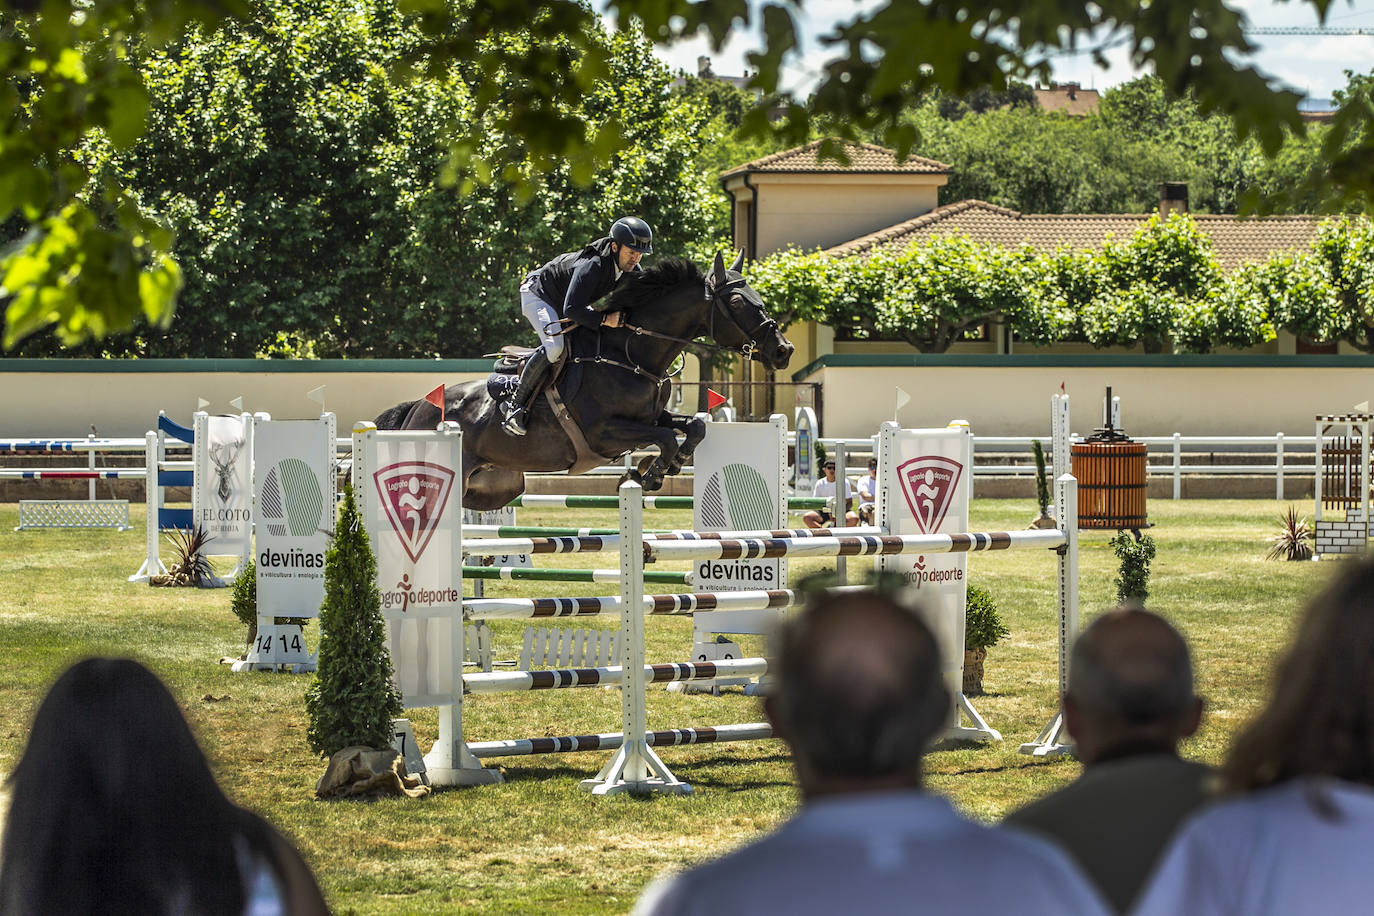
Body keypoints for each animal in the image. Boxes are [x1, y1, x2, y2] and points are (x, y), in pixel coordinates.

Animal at [373, 248, 796, 508]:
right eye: (738, 301)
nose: (783, 350)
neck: (631, 355)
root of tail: (419, 409)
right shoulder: (604, 433)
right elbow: (664, 437)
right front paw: (651, 474)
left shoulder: (650, 417)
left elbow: (693, 426)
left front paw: (669, 465)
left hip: (490, 485)